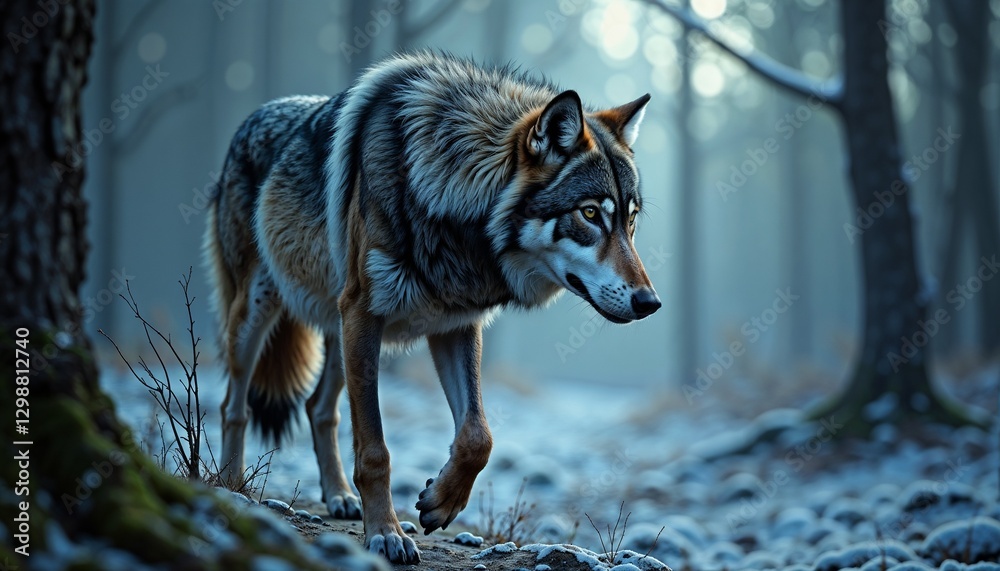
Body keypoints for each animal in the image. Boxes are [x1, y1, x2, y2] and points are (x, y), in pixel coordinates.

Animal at [205, 51, 660, 564]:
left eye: (631, 219)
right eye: (589, 214)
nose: (650, 302)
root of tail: (250, 119)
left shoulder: (455, 325)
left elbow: (478, 436)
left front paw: (440, 502)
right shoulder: (365, 313)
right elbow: (376, 451)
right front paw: (386, 533)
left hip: (342, 337)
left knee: (319, 408)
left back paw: (339, 496)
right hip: (263, 315)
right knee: (233, 404)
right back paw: (232, 485)